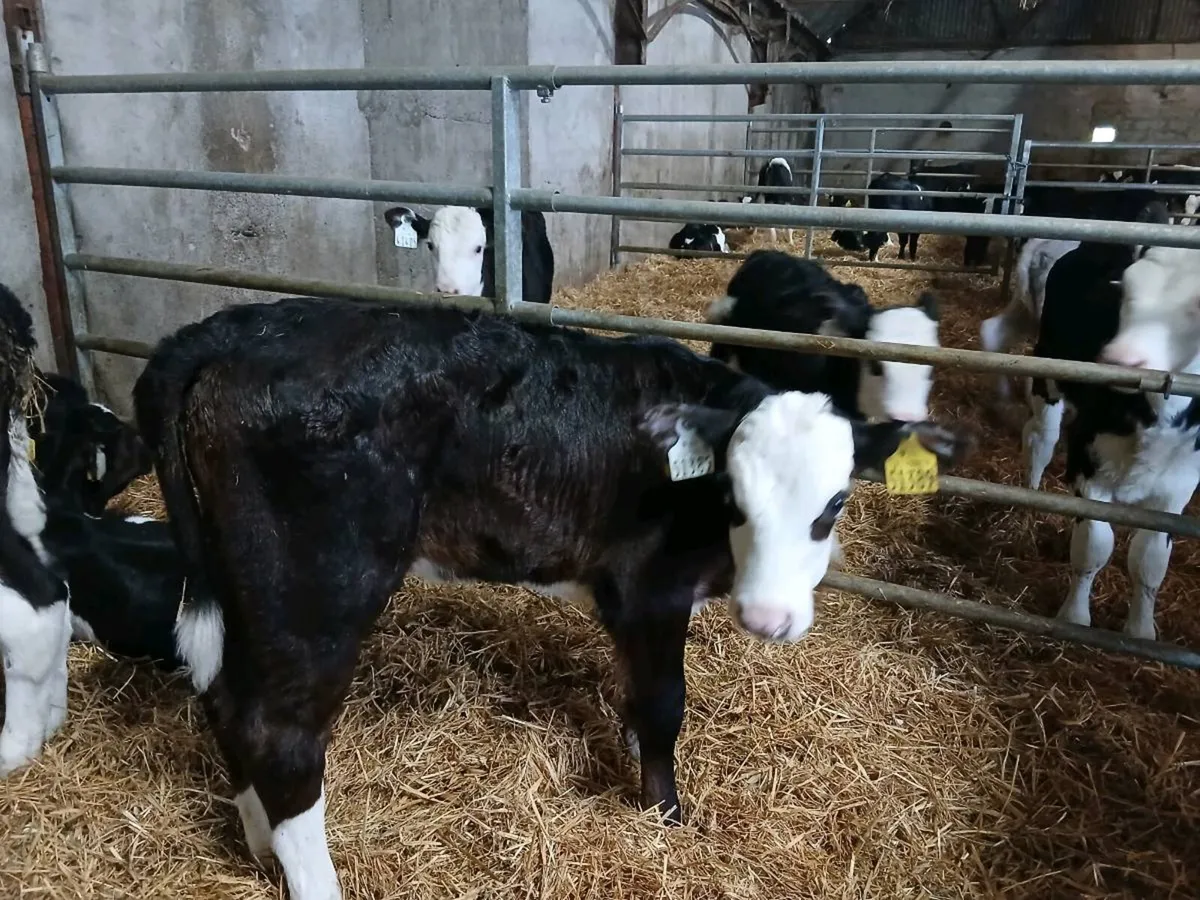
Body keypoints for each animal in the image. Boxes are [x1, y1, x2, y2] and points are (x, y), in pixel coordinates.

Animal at [132, 295, 970, 899]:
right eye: (734, 496)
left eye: (835, 503)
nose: (769, 618)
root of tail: (230, 327)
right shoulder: (648, 587)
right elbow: (663, 705)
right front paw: (664, 815)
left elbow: (633, 698)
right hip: (317, 583)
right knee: (279, 735)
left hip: (243, 575)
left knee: (224, 696)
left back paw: (257, 845)